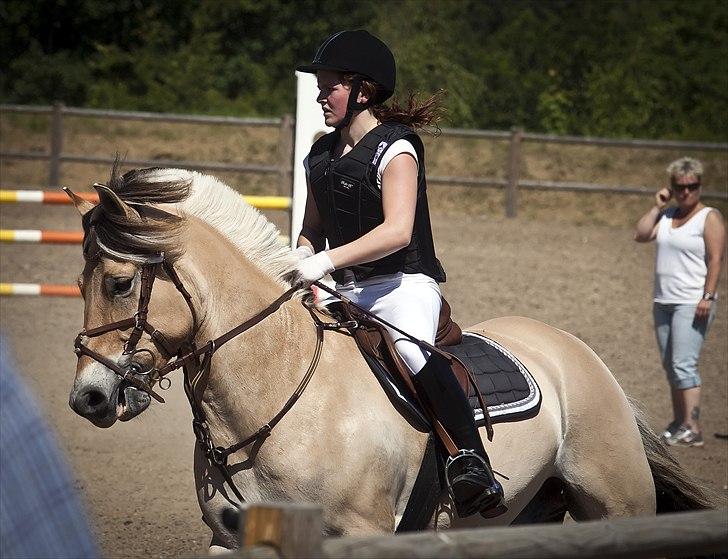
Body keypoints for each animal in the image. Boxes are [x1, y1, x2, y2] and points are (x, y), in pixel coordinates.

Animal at [67, 165, 704, 552]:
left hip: (616, 503)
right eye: (78, 283)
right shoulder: (229, 538)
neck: (275, 394)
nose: (87, 398)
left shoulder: (361, 531)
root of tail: (579, 353)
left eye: (120, 283)